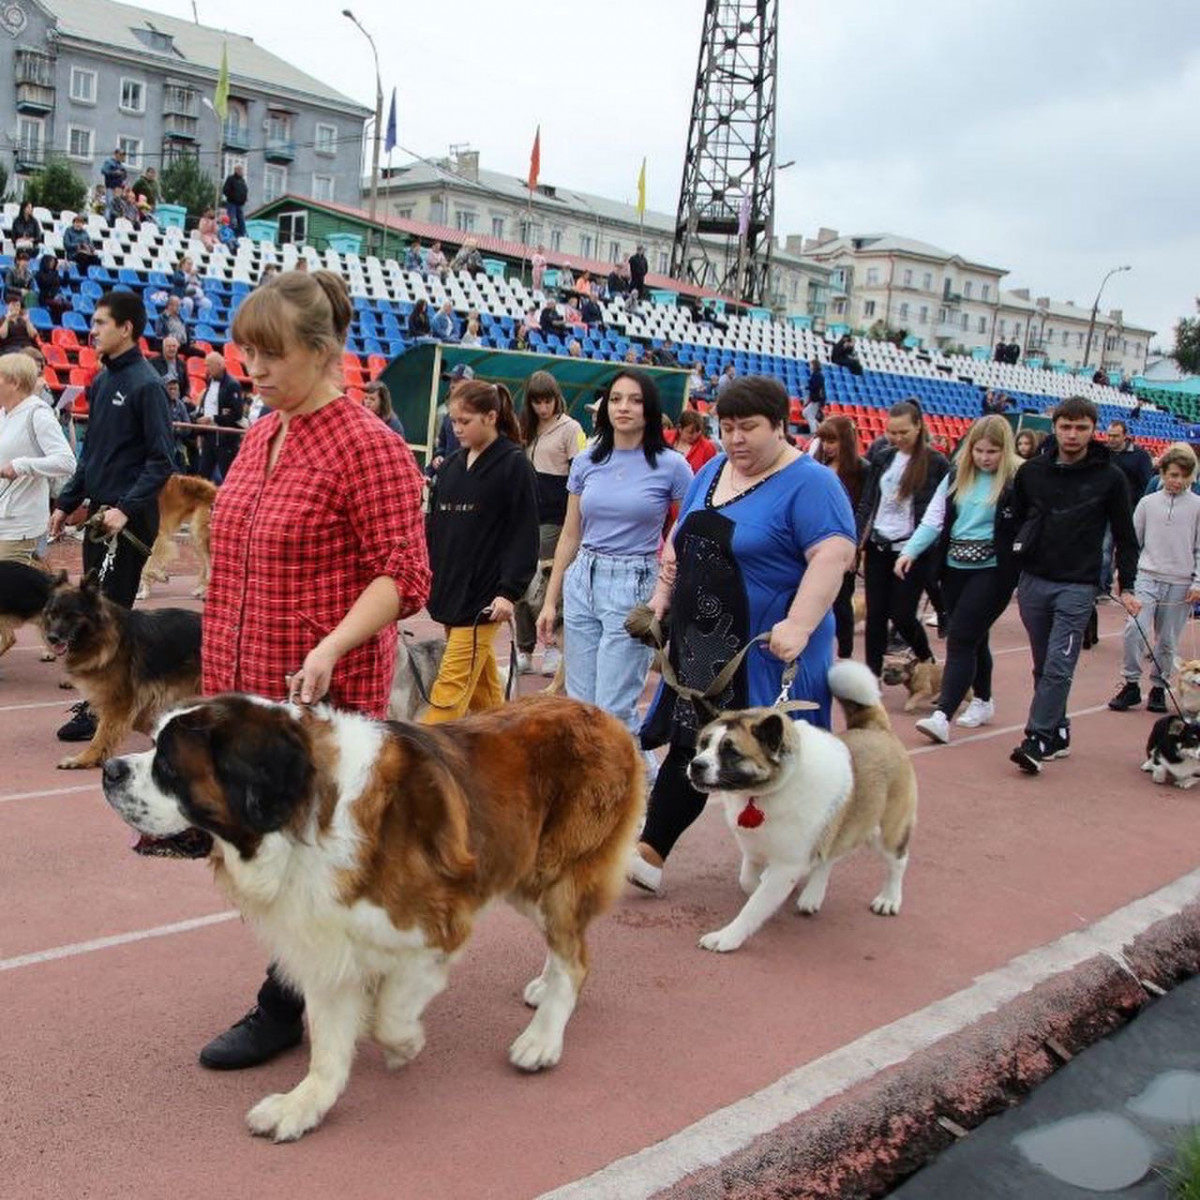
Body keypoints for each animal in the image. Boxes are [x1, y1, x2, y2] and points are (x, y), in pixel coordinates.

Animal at [43, 571, 202, 768]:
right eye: (53, 614)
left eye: (71, 615)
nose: (51, 638)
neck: (101, 636)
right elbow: (141, 721)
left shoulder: (118, 702)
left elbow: (101, 736)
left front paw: (83, 759)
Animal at [100, 691, 648, 1137]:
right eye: (151, 744)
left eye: (168, 765)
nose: (109, 770)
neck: (304, 822)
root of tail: (606, 718)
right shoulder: (325, 944)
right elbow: (327, 1046)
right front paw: (303, 1106)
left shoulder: (438, 927)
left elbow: (389, 1012)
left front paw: (404, 1045)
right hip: (520, 871)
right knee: (566, 947)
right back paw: (542, 987)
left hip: (555, 879)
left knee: (576, 958)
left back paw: (542, 1039)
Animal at [686, 662, 916, 950]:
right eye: (703, 745)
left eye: (731, 752)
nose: (696, 765)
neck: (764, 792)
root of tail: (878, 729)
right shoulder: (754, 851)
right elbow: (748, 882)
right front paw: (762, 888)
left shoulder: (786, 865)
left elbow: (753, 907)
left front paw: (726, 937)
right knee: (830, 857)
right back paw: (813, 895)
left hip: (887, 830)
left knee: (898, 862)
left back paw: (889, 898)